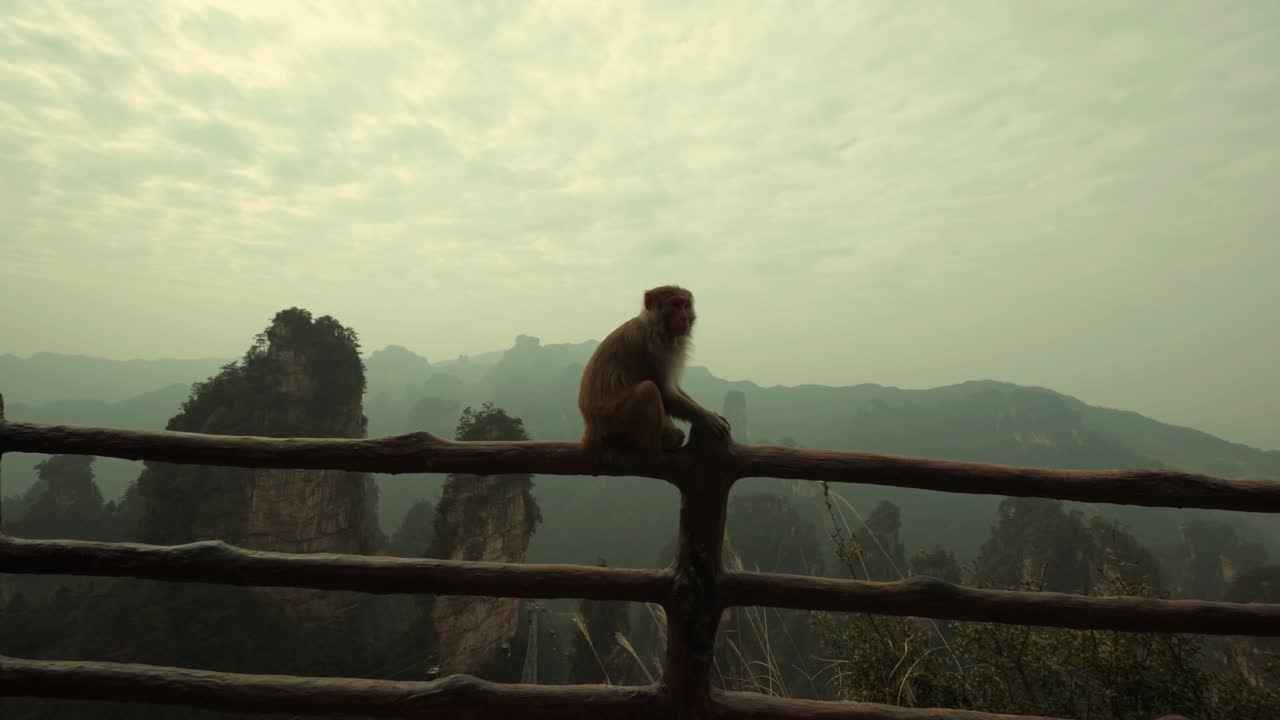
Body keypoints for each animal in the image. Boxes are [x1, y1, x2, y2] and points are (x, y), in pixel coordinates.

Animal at [578, 285, 731, 450]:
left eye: (685, 305)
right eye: (675, 305)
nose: (684, 318)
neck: (657, 327)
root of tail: (591, 427)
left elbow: (674, 388)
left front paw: (710, 413)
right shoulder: (652, 348)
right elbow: (665, 392)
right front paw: (707, 418)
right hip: (613, 423)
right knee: (648, 390)